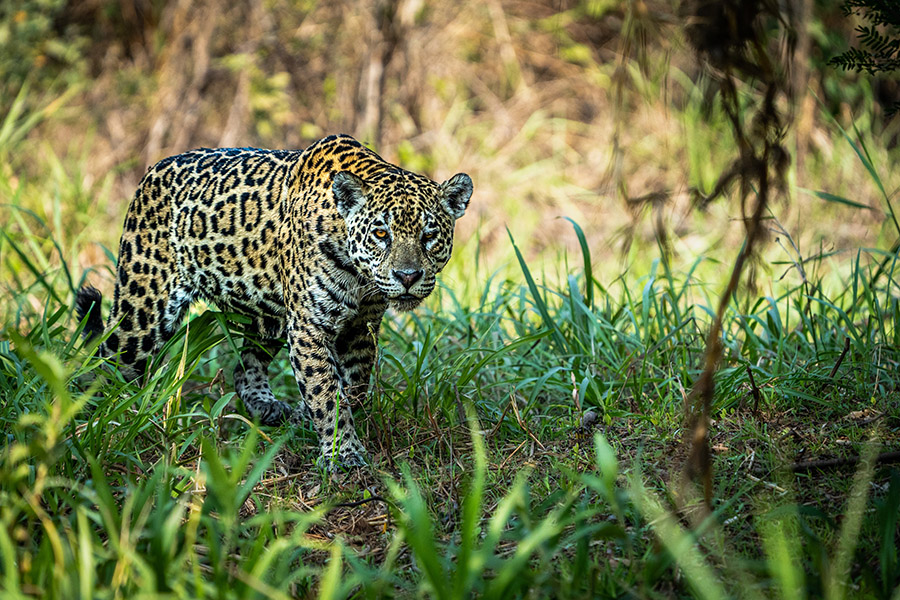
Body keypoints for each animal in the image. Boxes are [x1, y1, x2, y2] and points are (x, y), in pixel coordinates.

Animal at [75, 134, 473, 468]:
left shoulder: (361, 327)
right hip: (142, 314)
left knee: (243, 368)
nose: (408, 276)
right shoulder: (310, 327)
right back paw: (97, 425)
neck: (359, 275)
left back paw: (271, 409)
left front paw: (323, 425)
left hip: (270, 319)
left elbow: (354, 386)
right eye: (380, 233)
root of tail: (151, 171)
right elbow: (327, 391)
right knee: (104, 365)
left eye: (429, 236)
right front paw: (342, 454)